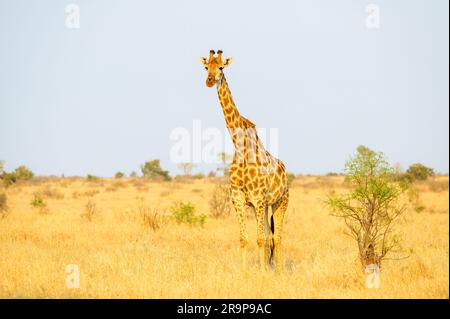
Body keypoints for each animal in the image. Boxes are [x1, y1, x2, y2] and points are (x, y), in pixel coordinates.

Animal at [200, 50, 290, 272]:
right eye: (206, 67)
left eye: (221, 67)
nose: (209, 80)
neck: (240, 147)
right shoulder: (239, 199)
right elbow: (244, 238)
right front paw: (245, 272)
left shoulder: (257, 199)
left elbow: (259, 239)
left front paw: (263, 272)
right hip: (266, 206)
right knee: (270, 237)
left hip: (281, 201)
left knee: (278, 237)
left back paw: (279, 271)